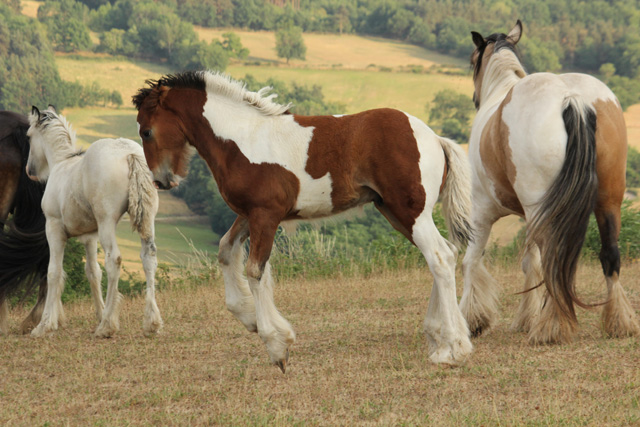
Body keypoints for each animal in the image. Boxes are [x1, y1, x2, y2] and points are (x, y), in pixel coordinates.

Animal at [27, 106, 162, 338]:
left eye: (28, 136)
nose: (30, 171)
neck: (61, 164)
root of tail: (130, 153)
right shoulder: (90, 236)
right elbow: (93, 272)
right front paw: (98, 313)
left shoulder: (53, 228)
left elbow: (54, 272)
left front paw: (45, 324)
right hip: (147, 220)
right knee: (149, 257)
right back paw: (151, 322)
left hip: (107, 221)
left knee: (114, 260)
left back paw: (107, 325)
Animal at [134, 70, 476, 372]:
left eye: (146, 131)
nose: (161, 180)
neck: (241, 141)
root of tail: (436, 139)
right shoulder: (250, 214)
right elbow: (226, 252)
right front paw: (251, 319)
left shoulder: (265, 214)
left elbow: (255, 271)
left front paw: (277, 347)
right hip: (395, 213)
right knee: (444, 253)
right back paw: (442, 341)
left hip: (410, 212)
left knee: (440, 257)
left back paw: (454, 350)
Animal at [460, 20, 640, 348]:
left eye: (472, 59)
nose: (475, 99)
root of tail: (571, 97)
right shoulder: (528, 216)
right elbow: (529, 262)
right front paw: (524, 318)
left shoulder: (481, 211)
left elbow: (472, 261)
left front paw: (473, 320)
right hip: (608, 201)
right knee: (609, 255)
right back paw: (618, 323)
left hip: (541, 207)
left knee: (554, 261)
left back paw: (552, 327)